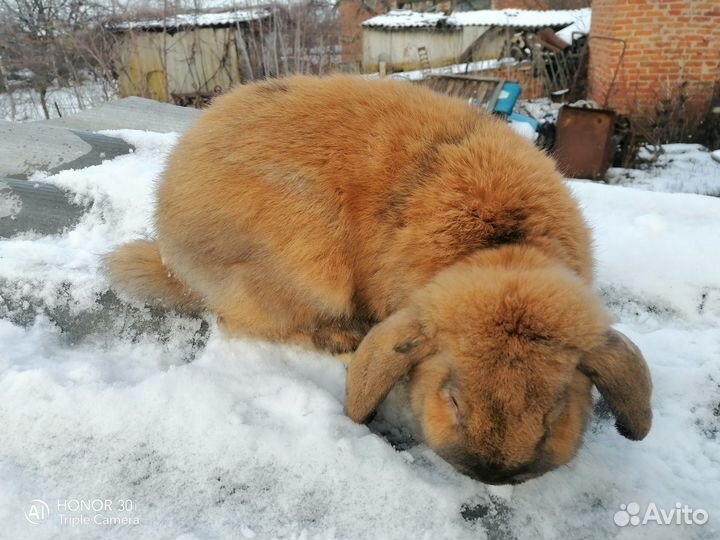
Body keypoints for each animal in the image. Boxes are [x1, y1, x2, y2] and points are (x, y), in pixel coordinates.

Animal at [106, 75, 652, 484]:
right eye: (453, 397)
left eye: (556, 408)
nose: (493, 473)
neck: (504, 251)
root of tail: (172, 252)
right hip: (306, 264)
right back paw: (344, 337)